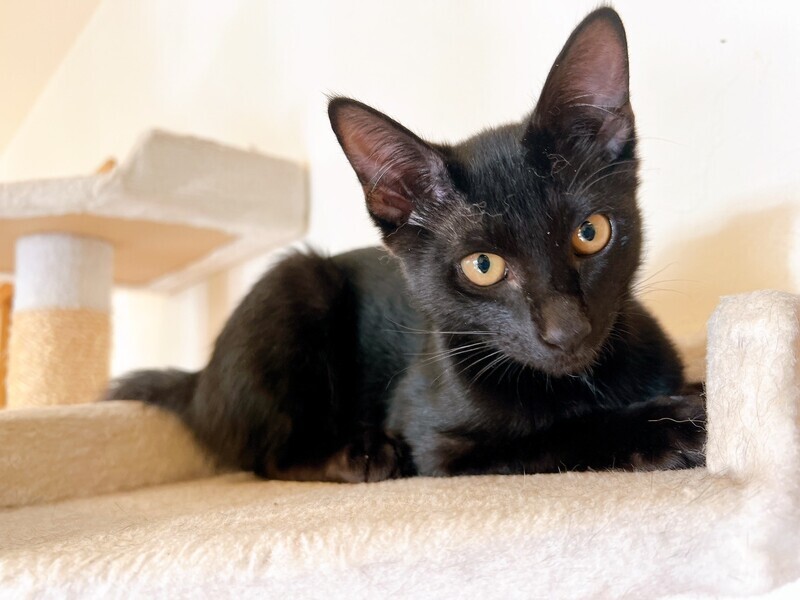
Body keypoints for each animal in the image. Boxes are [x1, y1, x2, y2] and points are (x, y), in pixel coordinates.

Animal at [106, 7, 706, 481]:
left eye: (591, 233)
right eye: (482, 266)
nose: (568, 330)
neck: (584, 381)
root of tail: (198, 379)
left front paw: (695, 396)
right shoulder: (440, 444)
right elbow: (562, 434)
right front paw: (671, 425)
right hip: (296, 283)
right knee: (268, 458)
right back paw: (362, 455)